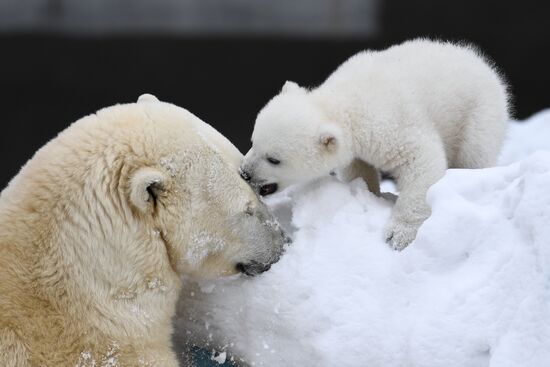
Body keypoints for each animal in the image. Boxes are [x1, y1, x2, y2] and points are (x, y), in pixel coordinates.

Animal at [244, 38, 512, 250]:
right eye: (253, 141)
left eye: (274, 159)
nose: (245, 173)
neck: (345, 101)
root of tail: (479, 60)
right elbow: (358, 168)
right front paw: (369, 194)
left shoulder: (391, 122)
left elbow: (421, 159)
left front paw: (399, 234)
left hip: (477, 114)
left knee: (475, 154)